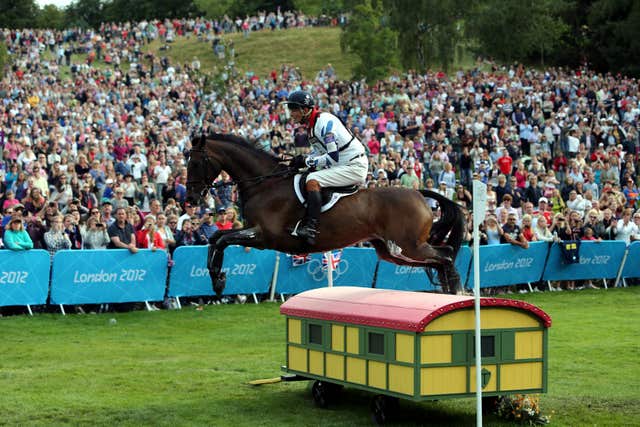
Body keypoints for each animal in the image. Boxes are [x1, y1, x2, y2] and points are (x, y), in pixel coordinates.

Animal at [185, 133, 464, 294]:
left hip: (409, 245)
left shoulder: (264, 236)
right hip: (393, 251)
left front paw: (218, 279)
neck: (265, 183)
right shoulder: (252, 231)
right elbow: (215, 239)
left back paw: (457, 292)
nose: (190, 199)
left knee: (446, 254)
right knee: (439, 260)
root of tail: (418, 194)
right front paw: (217, 278)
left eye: (196, 162)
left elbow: (222, 239)